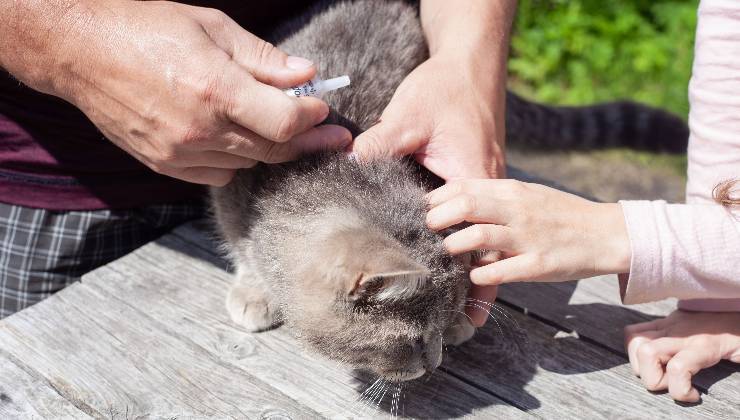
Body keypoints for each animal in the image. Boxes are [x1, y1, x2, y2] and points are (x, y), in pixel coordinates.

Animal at [211, 0, 692, 380]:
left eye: (440, 328)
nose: (436, 362)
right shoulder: (233, 183)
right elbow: (240, 243)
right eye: (412, 340)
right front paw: (255, 289)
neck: (317, 172)